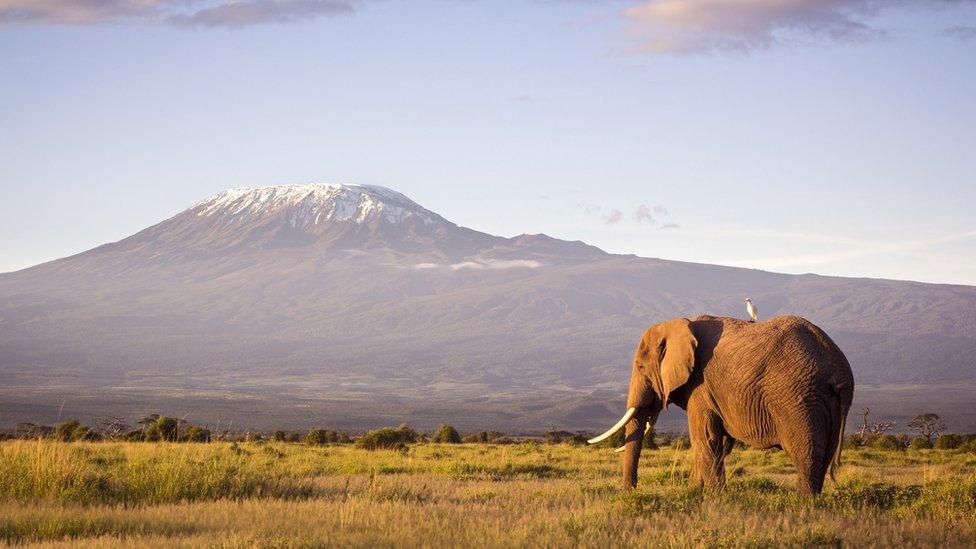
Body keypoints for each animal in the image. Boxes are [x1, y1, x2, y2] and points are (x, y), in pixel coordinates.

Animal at [588, 314, 856, 494]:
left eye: (640, 366)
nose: (631, 491)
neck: (680, 323)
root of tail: (840, 371)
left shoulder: (700, 387)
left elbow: (705, 439)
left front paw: (714, 498)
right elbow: (712, 444)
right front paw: (695, 492)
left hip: (798, 399)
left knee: (805, 453)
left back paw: (802, 504)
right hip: (824, 402)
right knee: (825, 454)